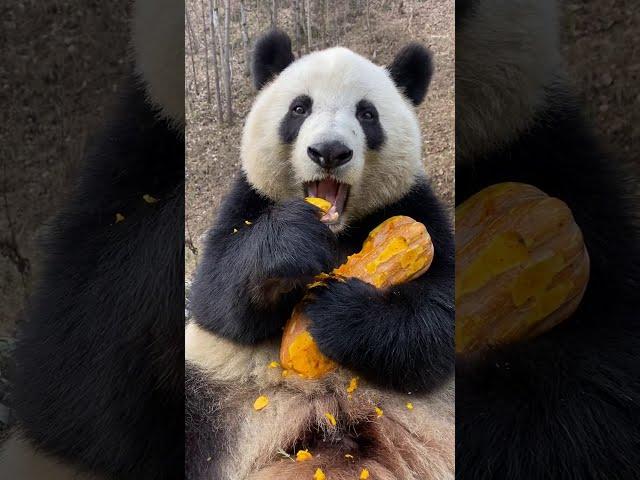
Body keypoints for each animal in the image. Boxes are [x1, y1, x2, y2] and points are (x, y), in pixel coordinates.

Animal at [184, 31, 456, 480]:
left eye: (367, 113)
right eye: (299, 108)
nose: (329, 151)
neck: (339, 233)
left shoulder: (417, 209)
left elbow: (440, 318)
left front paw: (335, 311)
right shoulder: (247, 199)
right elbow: (216, 293)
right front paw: (294, 244)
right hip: (217, 389)